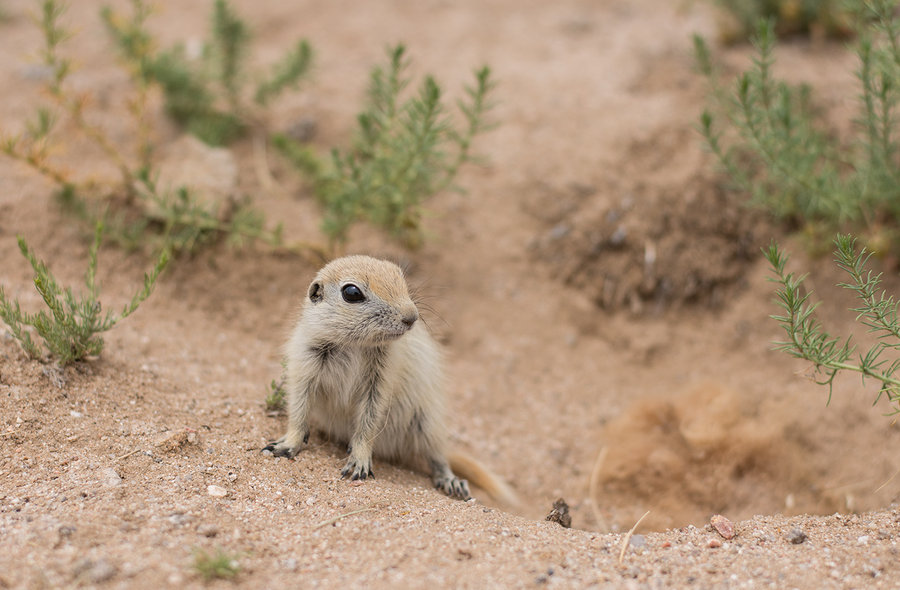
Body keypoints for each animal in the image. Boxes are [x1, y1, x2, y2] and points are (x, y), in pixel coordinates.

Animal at [264, 254, 512, 504]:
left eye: (400, 277)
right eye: (351, 292)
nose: (412, 317)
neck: (355, 346)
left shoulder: (381, 380)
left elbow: (369, 420)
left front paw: (359, 461)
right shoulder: (305, 364)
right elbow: (298, 411)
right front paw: (286, 445)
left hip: (428, 423)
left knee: (438, 457)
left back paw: (452, 482)